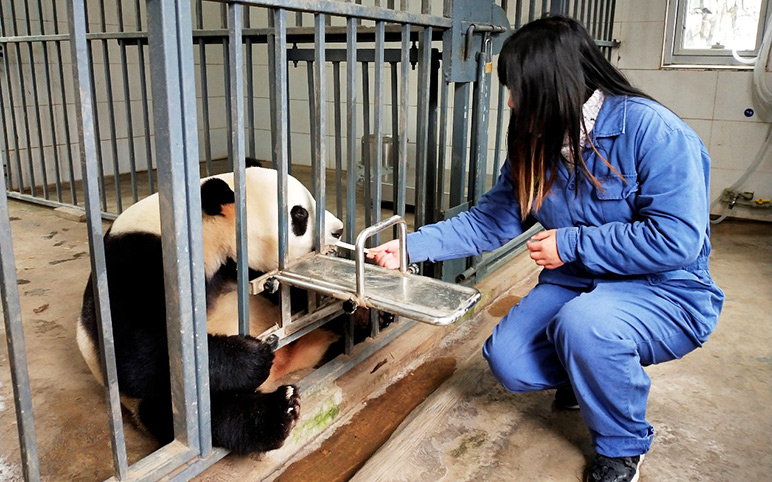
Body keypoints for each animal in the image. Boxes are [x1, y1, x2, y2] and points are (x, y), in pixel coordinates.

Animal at [76, 164, 344, 454]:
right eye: (300, 214)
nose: (339, 230)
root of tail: (282, 368)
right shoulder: (136, 262)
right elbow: (134, 355)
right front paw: (252, 356)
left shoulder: (243, 269)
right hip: (151, 401)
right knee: (203, 413)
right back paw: (277, 412)